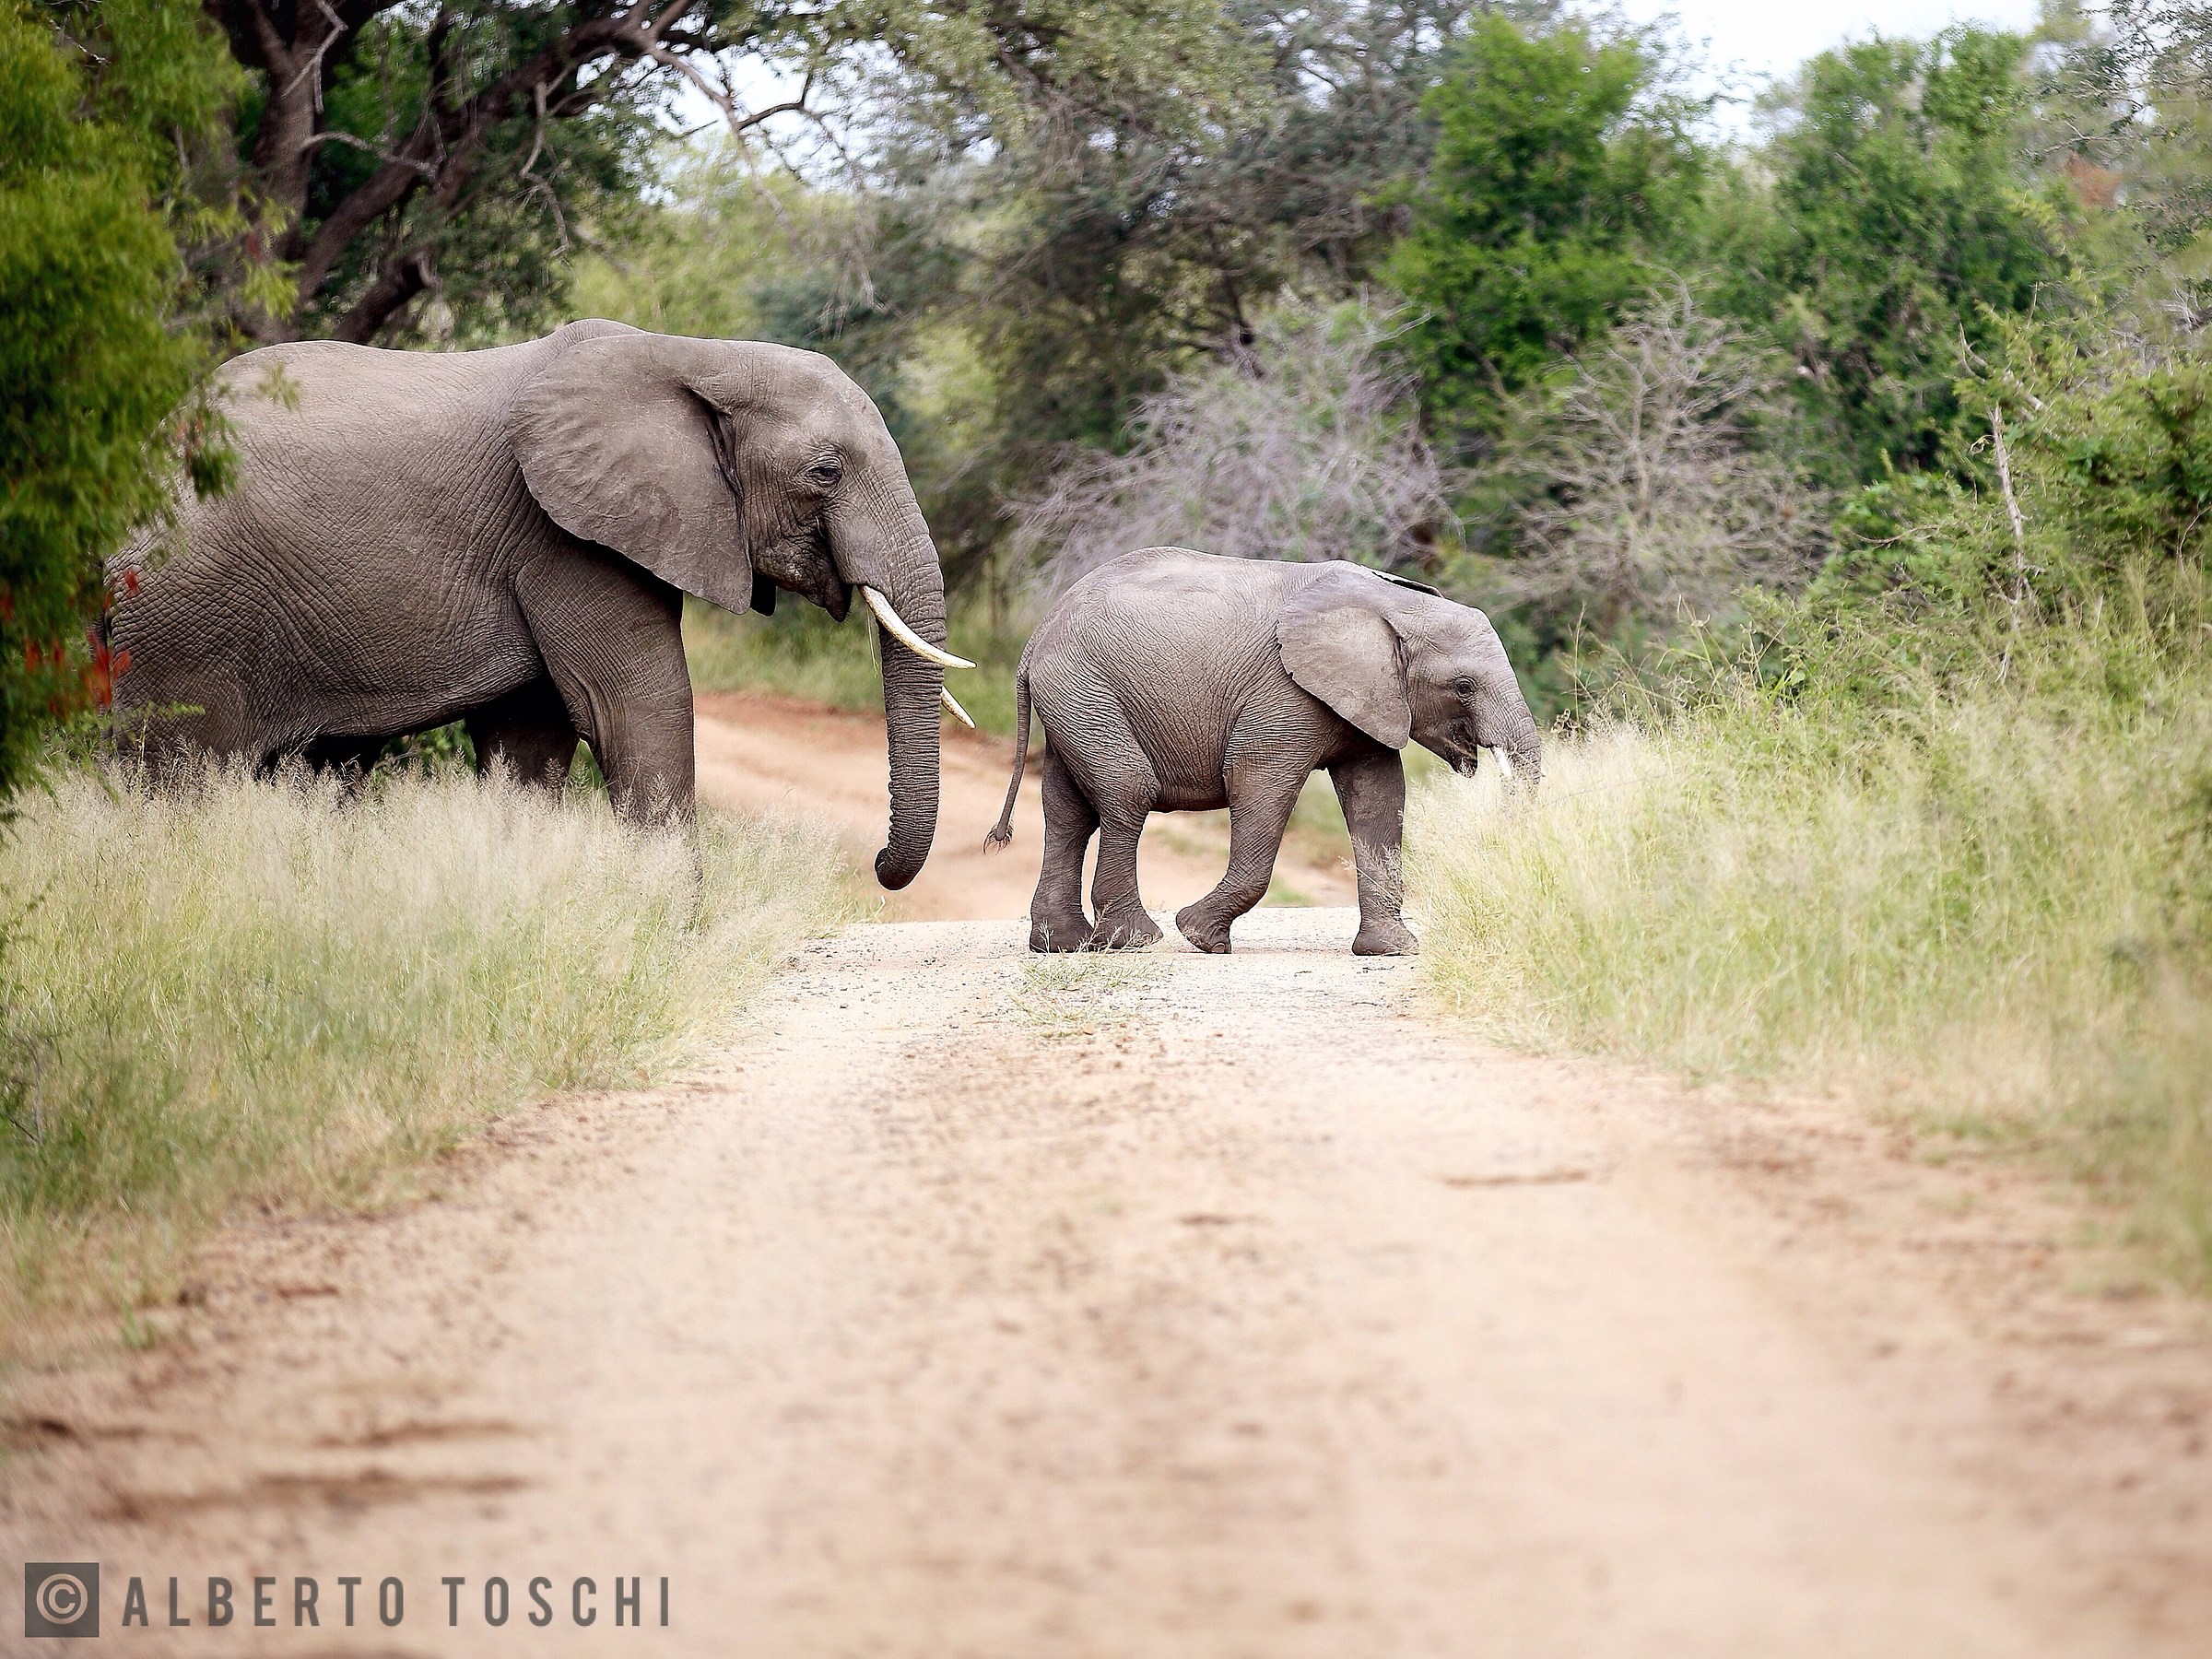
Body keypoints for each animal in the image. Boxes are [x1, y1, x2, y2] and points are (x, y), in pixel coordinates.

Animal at [106, 318, 970, 888]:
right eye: (826, 471)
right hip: (183, 616)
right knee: (181, 775)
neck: (701, 354)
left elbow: (531, 736)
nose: (875, 865)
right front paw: (672, 930)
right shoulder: (562, 535)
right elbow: (636, 704)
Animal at [985, 547, 1542, 955]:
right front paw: (1202, 937)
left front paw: (1393, 952)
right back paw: (1134, 941)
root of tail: (1037, 634)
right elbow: (1259, 781)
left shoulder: (1369, 696)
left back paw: (1060, 945)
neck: (1389, 603)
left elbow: (1379, 798)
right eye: (1464, 687)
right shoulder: (1284, 694)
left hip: (1072, 699)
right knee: (1127, 792)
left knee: (1068, 810)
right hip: (1085, 688)